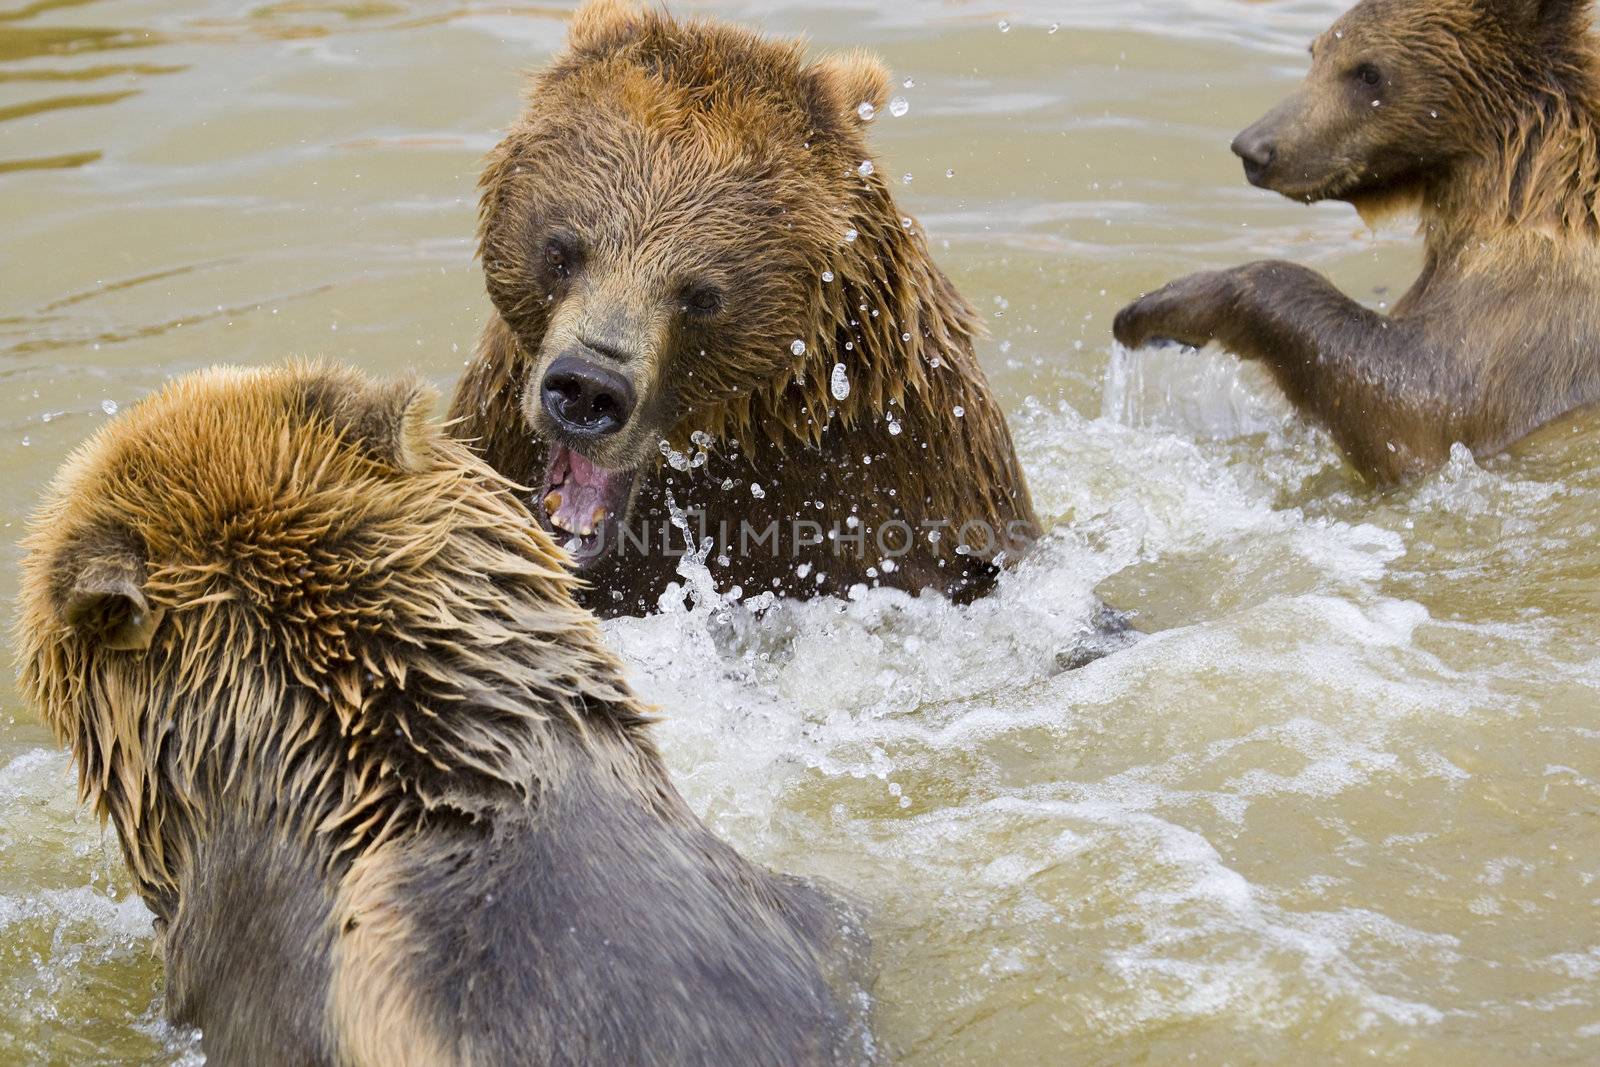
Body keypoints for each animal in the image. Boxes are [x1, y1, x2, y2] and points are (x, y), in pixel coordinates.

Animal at [1113, 0, 1600, 483]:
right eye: (1316, 52)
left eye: (1368, 72)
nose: (1254, 148)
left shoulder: (1542, 308)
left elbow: (1425, 406)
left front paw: (1166, 306)